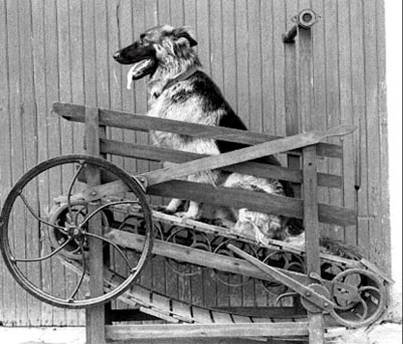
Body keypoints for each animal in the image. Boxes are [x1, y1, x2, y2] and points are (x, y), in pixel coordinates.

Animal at [113, 24, 304, 241]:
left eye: (143, 40)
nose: (115, 55)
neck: (176, 80)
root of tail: (287, 223)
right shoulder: (172, 154)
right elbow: (177, 185)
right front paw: (171, 209)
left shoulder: (198, 156)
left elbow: (195, 190)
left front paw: (190, 215)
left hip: (234, 180)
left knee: (252, 230)